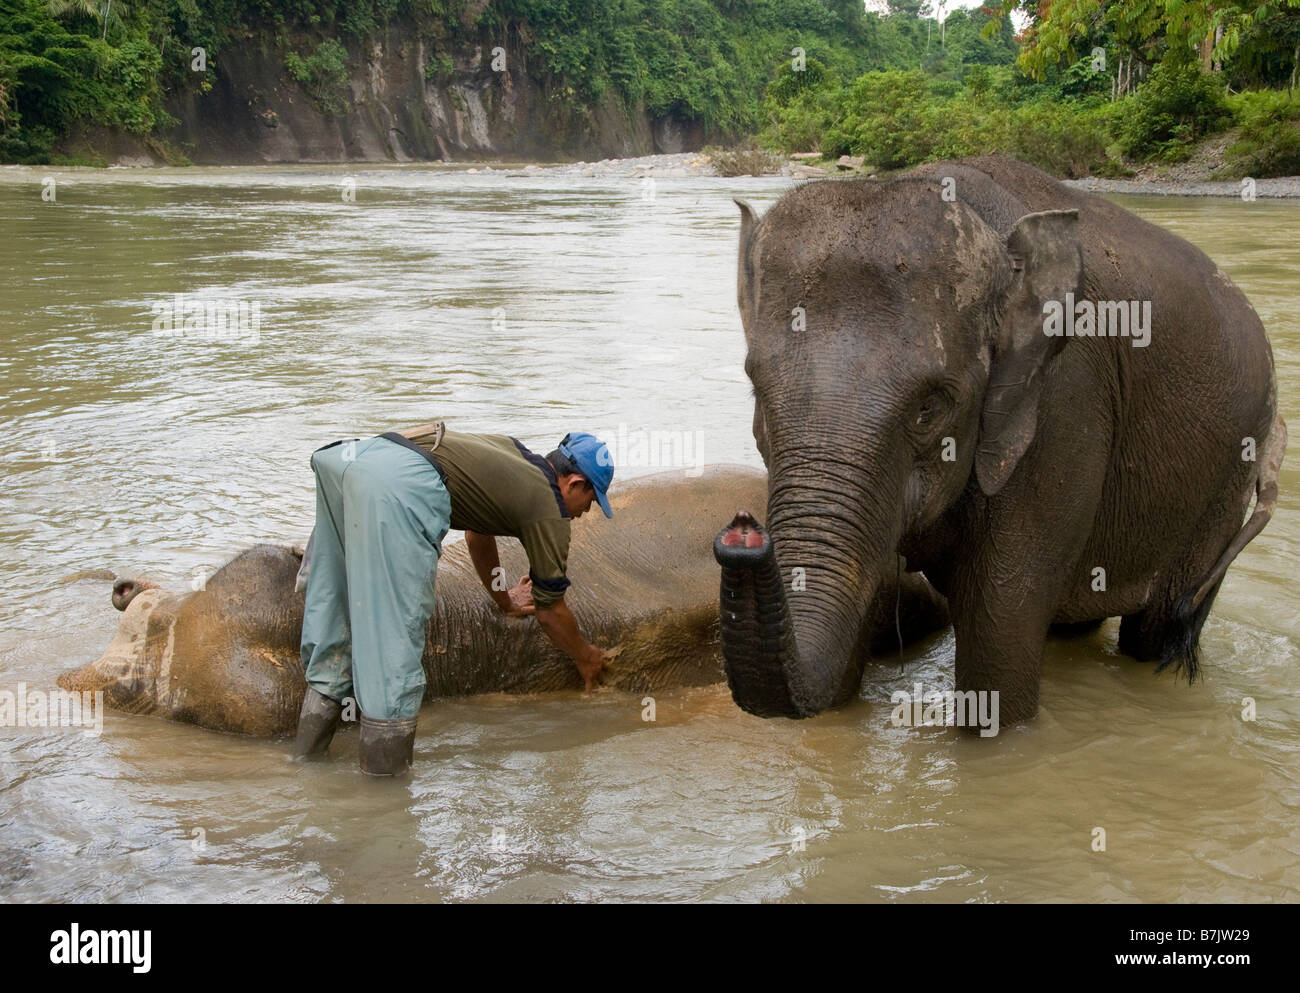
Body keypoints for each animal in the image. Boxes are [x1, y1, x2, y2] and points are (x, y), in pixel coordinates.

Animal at [717, 157, 1284, 727]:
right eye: (756, 388)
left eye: (929, 407)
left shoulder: (1064, 404)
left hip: (1229, 472)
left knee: (1157, 628)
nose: (743, 529)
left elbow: (999, 633)